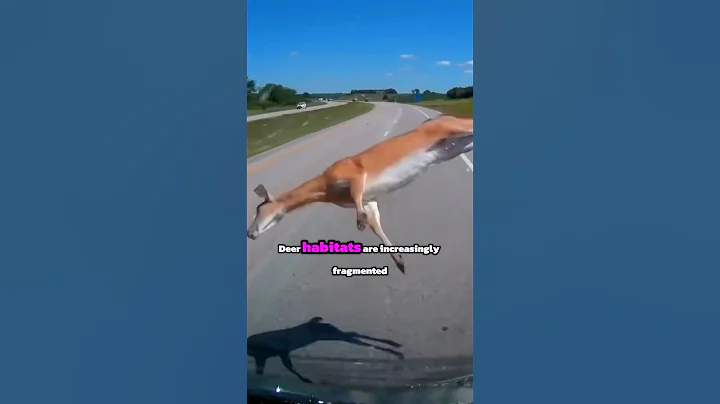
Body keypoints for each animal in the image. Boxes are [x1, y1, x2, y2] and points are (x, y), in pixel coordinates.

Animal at [247, 114, 473, 274]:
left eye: (259, 209)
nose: (250, 233)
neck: (324, 189)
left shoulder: (355, 175)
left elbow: (359, 203)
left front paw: (360, 223)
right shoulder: (369, 200)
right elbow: (375, 225)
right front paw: (400, 262)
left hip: (455, 130)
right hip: (455, 147)